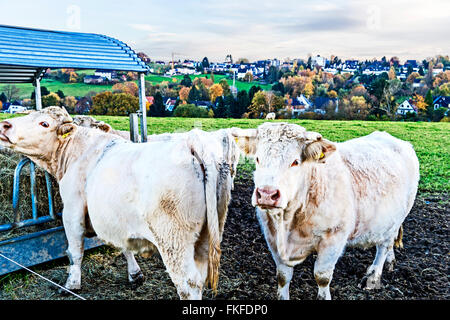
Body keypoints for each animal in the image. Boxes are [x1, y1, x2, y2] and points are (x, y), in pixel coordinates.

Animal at [0, 106, 241, 298]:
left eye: (44, 123)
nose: (5, 124)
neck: (76, 152)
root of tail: (193, 142)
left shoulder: (72, 211)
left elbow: (75, 251)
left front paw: (71, 284)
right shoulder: (118, 218)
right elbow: (124, 246)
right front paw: (135, 274)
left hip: (174, 240)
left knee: (188, 283)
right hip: (207, 235)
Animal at [230, 122, 420, 300]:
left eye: (295, 162)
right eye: (257, 159)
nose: (267, 194)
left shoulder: (334, 237)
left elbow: (322, 276)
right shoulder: (272, 236)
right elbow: (283, 276)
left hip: (397, 218)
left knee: (384, 245)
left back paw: (373, 277)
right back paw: (390, 261)